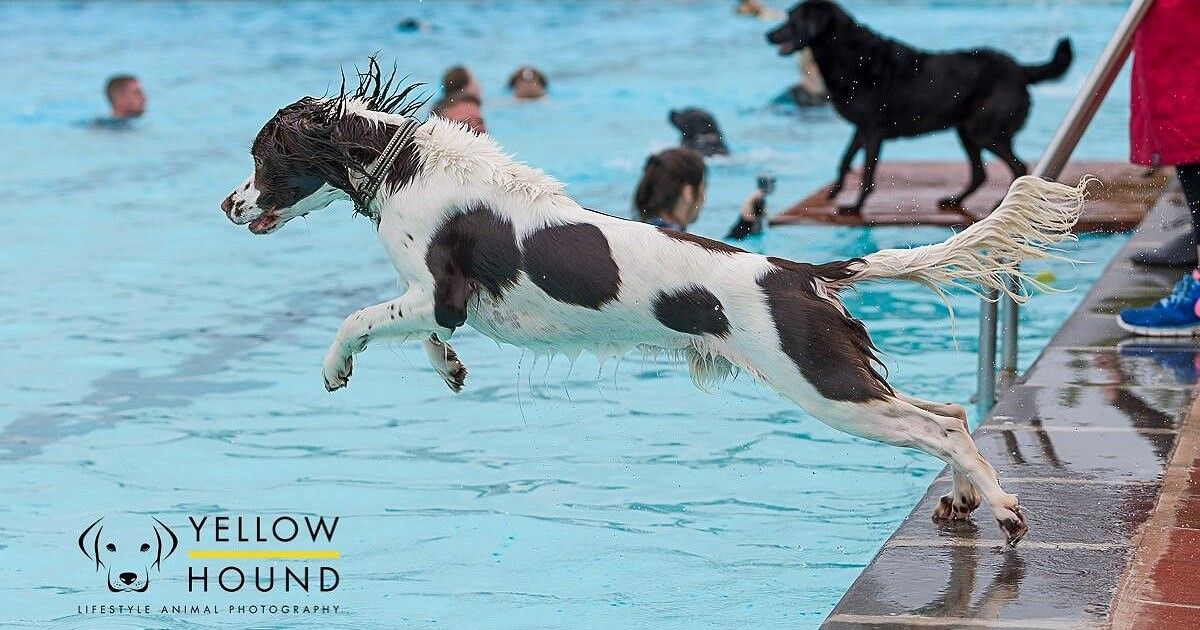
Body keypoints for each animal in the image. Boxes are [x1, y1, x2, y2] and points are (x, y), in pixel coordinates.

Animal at [220, 62, 1094, 544]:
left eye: (263, 157)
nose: (228, 206)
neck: (404, 163)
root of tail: (800, 270)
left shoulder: (435, 293)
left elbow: (358, 319)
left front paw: (337, 370)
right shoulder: (438, 307)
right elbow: (426, 338)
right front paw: (452, 371)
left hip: (821, 384)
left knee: (935, 425)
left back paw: (1006, 510)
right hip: (842, 378)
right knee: (949, 412)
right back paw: (964, 498)